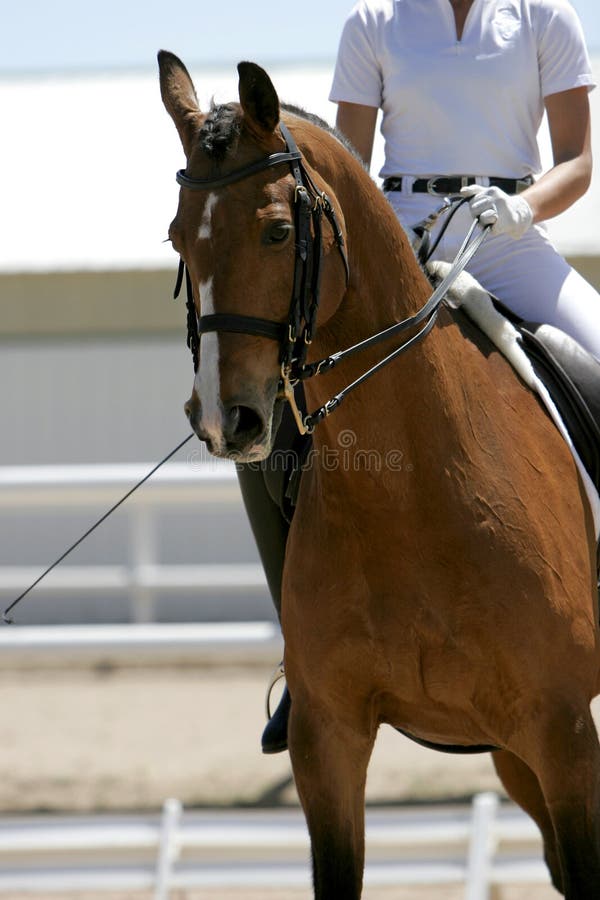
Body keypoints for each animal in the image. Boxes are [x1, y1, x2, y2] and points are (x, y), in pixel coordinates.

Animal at [158, 52, 600, 896]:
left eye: (277, 230)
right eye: (176, 235)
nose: (227, 419)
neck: (411, 498)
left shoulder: (563, 734)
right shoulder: (327, 742)